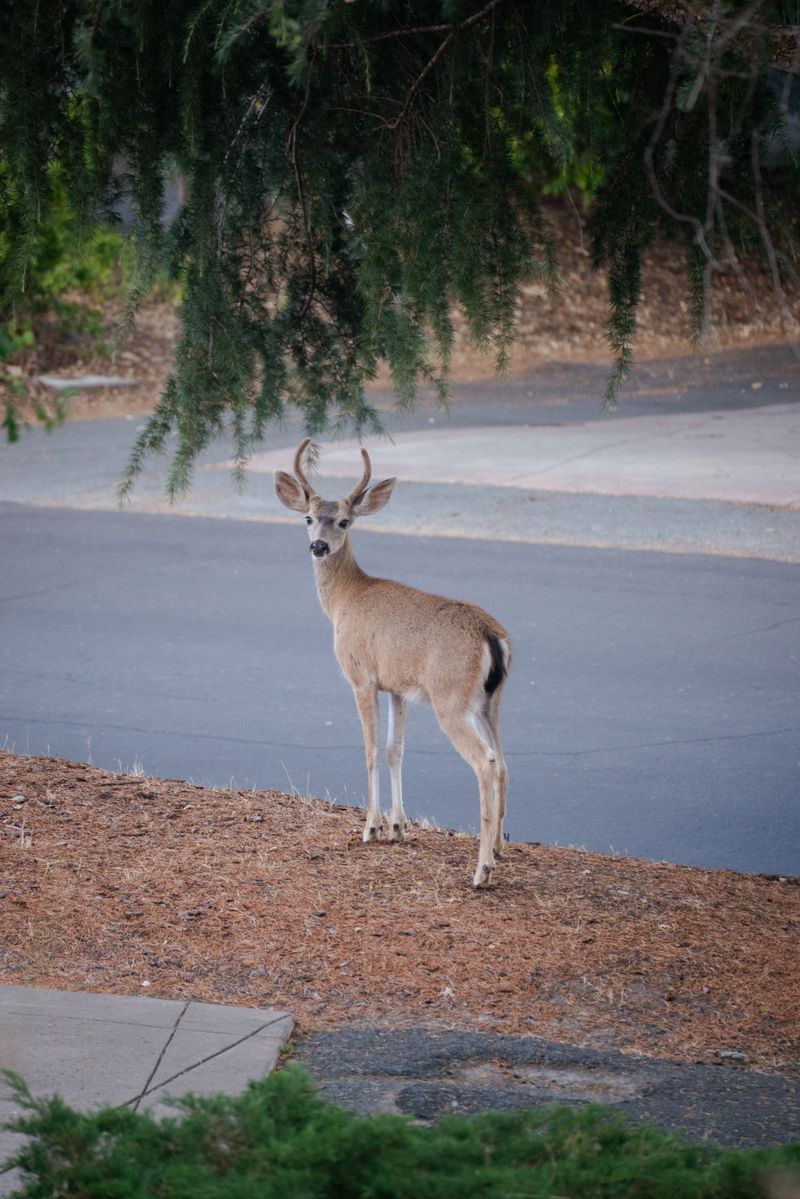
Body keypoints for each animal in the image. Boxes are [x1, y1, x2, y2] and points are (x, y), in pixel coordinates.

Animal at [274, 438, 511, 888]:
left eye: (344, 521)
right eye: (308, 518)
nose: (319, 546)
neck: (345, 600)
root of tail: (491, 635)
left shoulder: (362, 675)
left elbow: (369, 748)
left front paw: (371, 827)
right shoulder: (399, 686)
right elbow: (393, 748)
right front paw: (398, 827)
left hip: (450, 698)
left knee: (485, 761)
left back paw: (481, 870)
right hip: (491, 700)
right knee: (503, 759)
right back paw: (501, 848)